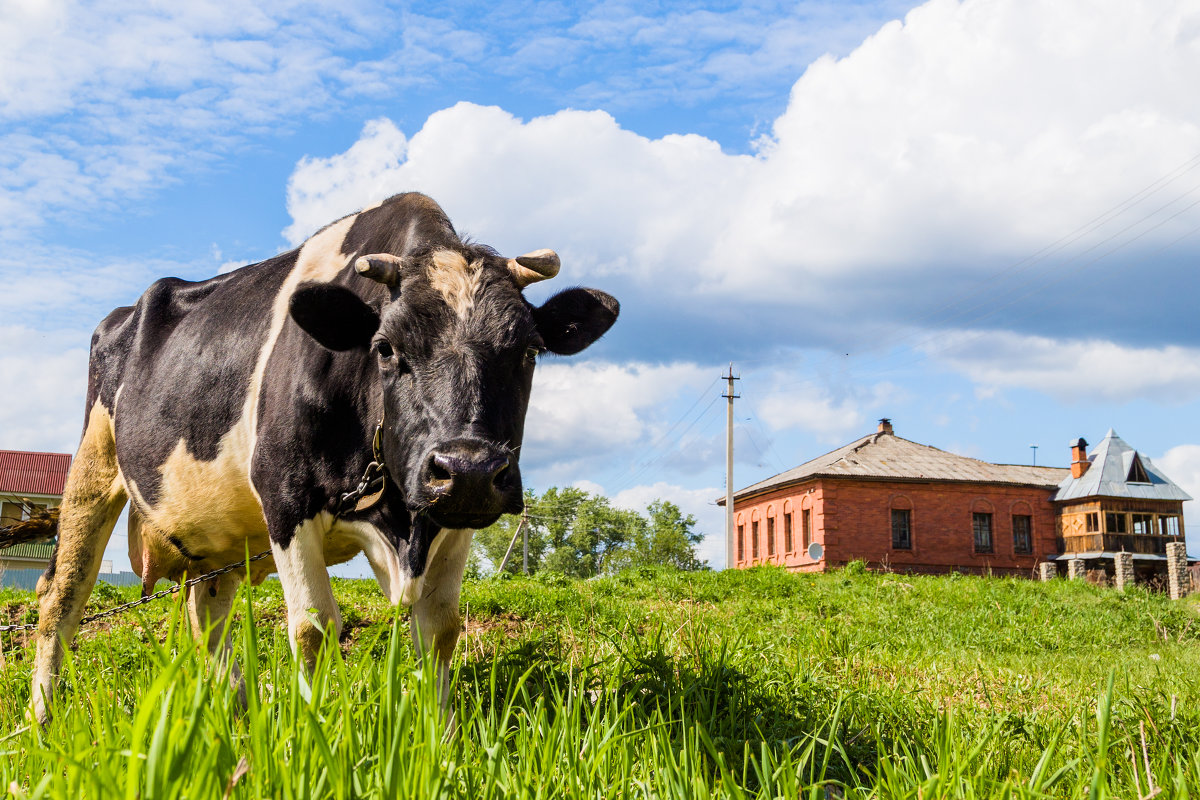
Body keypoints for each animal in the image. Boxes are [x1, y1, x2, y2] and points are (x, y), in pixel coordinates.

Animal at [30, 194, 619, 724]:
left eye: (529, 351)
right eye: (386, 348)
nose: (468, 469)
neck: (399, 525)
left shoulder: (451, 520)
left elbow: (441, 629)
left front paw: (442, 738)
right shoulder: (286, 500)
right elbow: (313, 628)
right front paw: (311, 733)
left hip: (217, 537)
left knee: (208, 614)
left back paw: (233, 716)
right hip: (92, 467)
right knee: (60, 601)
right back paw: (42, 718)